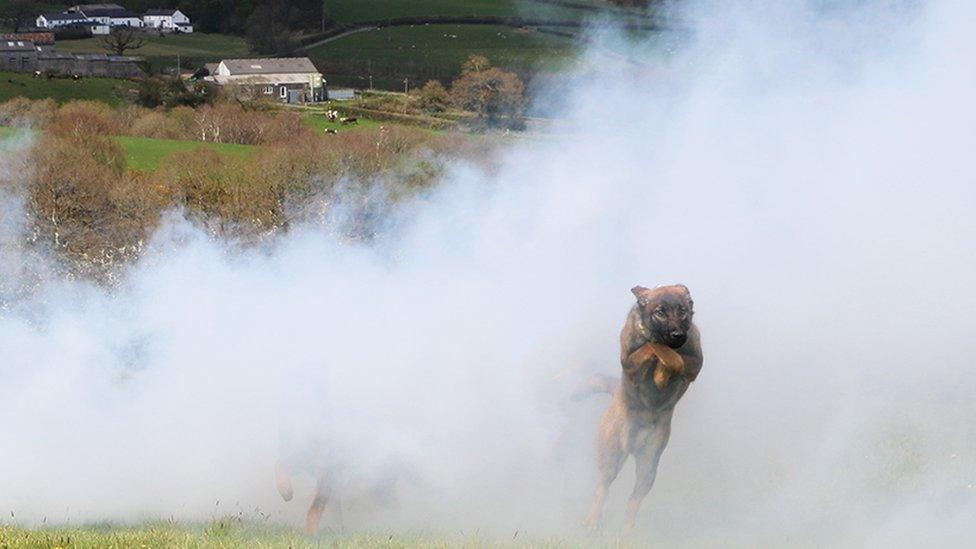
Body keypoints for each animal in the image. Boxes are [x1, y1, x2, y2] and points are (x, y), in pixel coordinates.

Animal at [580, 284, 700, 528]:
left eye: (682, 310)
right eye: (660, 312)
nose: (678, 335)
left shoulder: (696, 363)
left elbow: (677, 360)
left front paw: (662, 374)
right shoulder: (629, 361)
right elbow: (653, 347)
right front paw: (660, 367)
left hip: (649, 466)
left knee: (633, 501)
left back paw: (625, 532)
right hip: (612, 457)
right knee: (602, 489)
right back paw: (591, 524)